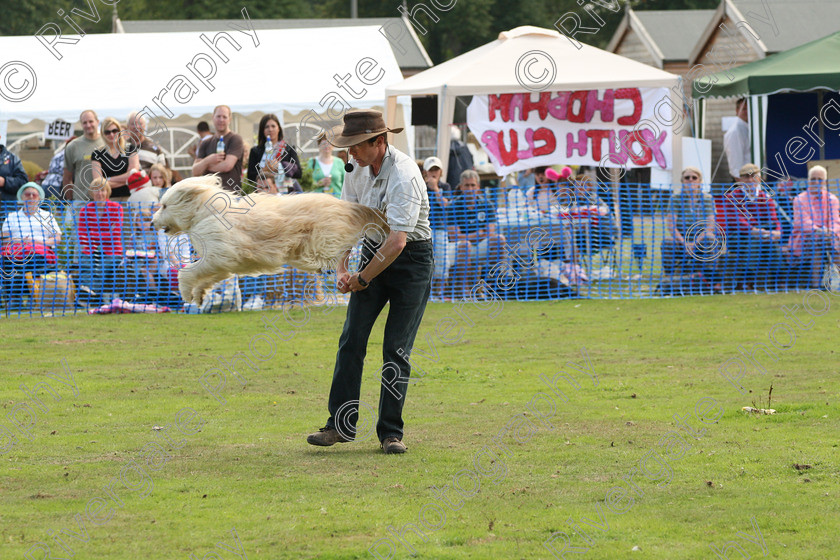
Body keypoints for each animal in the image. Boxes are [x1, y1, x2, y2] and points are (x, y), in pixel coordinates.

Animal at [151, 177, 388, 304]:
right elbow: (209, 277)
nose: (152, 222)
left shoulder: (218, 255)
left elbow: (187, 272)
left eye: (164, 205)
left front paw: (186, 293)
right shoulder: (224, 263)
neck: (206, 213)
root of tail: (347, 206)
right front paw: (200, 295)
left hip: (321, 239)